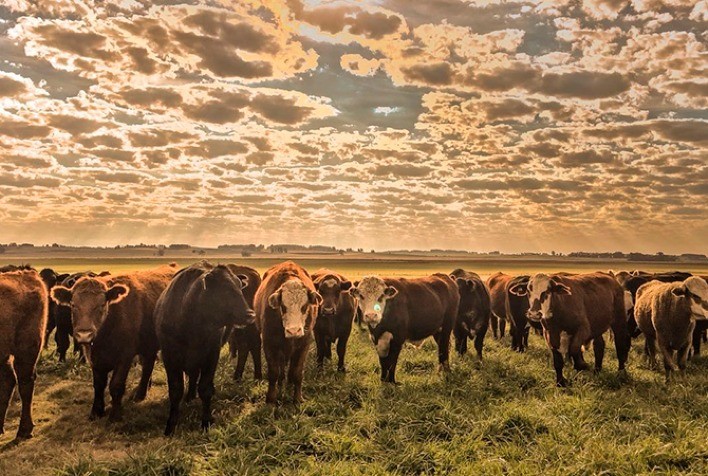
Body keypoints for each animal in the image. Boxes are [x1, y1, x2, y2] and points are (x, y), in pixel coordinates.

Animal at [51, 262, 176, 422]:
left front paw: (115, 414)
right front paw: (96, 411)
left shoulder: (125, 356)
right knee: (148, 365)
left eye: (102, 305)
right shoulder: (95, 359)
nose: (84, 334)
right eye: (73, 305)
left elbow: (116, 385)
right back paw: (142, 391)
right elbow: (99, 385)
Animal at [156, 262, 256, 436]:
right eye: (225, 289)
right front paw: (171, 425)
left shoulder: (211, 355)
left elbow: (205, 388)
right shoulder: (169, 356)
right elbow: (175, 390)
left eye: (239, 286)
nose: (250, 314)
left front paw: (206, 421)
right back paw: (189, 396)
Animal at [254, 262, 320, 404]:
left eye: (304, 306)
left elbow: (297, 372)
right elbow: (273, 372)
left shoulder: (304, 345)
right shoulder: (269, 344)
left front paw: (298, 398)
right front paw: (271, 399)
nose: (293, 331)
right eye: (283, 307)